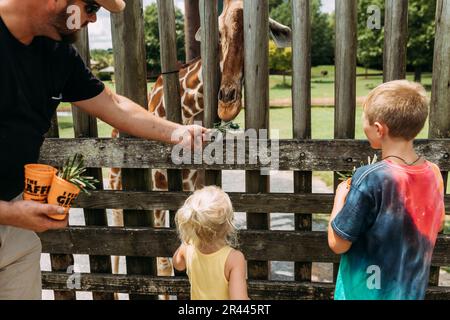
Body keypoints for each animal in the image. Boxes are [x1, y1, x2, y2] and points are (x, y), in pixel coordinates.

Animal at [108, 0, 292, 280]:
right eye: (218, 33)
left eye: (260, 32)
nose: (227, 101)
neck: (187, 108)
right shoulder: (158, 180)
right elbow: (164, 263)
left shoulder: (193, 180)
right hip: (116, 181)